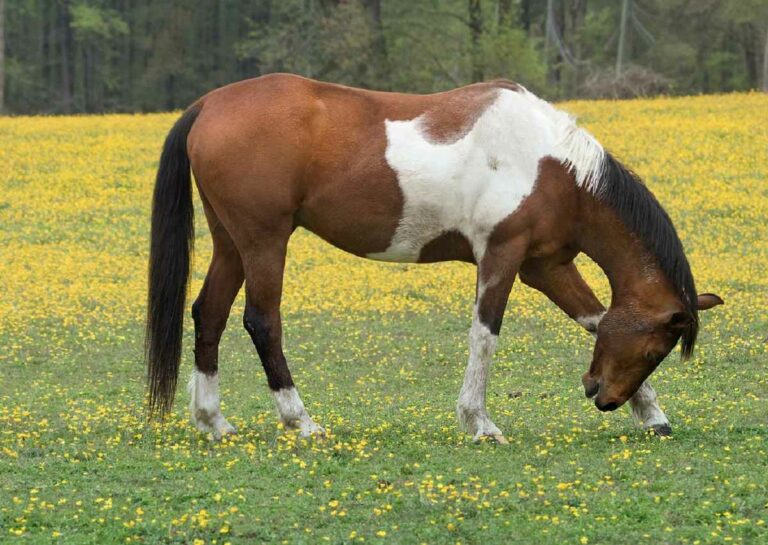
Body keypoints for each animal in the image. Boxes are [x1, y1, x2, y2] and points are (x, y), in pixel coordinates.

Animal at [147, 73, 724, 442]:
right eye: (655, 348)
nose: (600, 394)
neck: (549, 164)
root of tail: (210, 104)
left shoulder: (546, 265)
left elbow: (596, 319)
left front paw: (652, 414)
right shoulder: (502, 255)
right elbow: (485, 335)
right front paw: (479, 423)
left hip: (231, 243)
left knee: (209, 315)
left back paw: (213, 422)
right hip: (265, 241)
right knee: (262, 321)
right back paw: (300, 421)